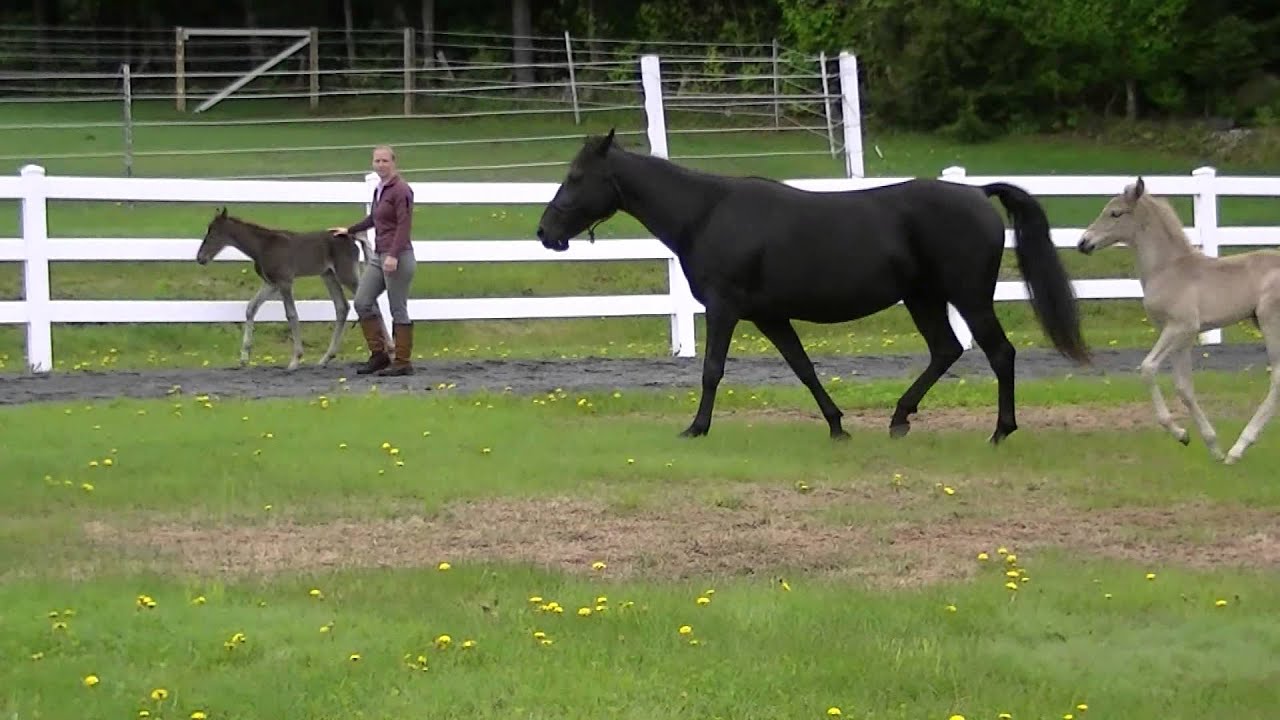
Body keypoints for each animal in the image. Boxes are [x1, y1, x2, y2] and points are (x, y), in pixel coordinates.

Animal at [195, 208, 373, 371]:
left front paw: (295, 360)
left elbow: (291, 315)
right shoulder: (271, 284)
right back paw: (325, 359)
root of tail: (350, 237)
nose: (200, 258)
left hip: (345, 274)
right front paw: (244, 358)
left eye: (214, 232)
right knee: (342, 307)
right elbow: (251, 308)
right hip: (328, 275)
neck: (263, 246)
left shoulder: (285, 282)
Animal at [535, 129, 1091, 443]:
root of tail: (977, 193)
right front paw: (837, 425)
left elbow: (713, 370)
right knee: (945, 351)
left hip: (968, 297)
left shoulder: (724, 308)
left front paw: (696, 427)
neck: (708, 213)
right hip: (923, 298)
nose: (545, 232)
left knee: (999, 354)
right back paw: (900, 418)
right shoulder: (770, 315)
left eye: (577, 176)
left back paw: (1000, 430)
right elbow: (802, 368)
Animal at [1078, 177, 1280, 464]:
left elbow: (1148, 368)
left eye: (1115, 213)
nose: (1083, 243)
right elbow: (1184, 388)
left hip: (1271, 321)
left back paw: (1238, 448)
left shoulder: (1182, 327)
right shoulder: (1179, 336)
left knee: (1278, 379)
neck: (1168, 268)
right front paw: (1209, 445)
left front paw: (1181, 433)